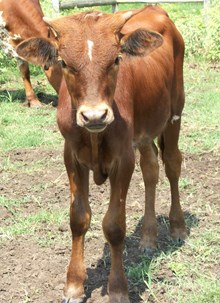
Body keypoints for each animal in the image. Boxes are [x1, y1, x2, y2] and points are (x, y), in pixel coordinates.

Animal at [16, 5, 186, 303]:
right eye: (64, 63)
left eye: (117, 59)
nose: (95, 115)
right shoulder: (71, 156)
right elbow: (78, 218)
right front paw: (74, 285)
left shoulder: (123, 159)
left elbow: (114, 225)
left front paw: (117, 289)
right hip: (144, 131)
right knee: (151, 169)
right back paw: (148, 238)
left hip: (175, 112)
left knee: (172, 164)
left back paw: (177, 227)